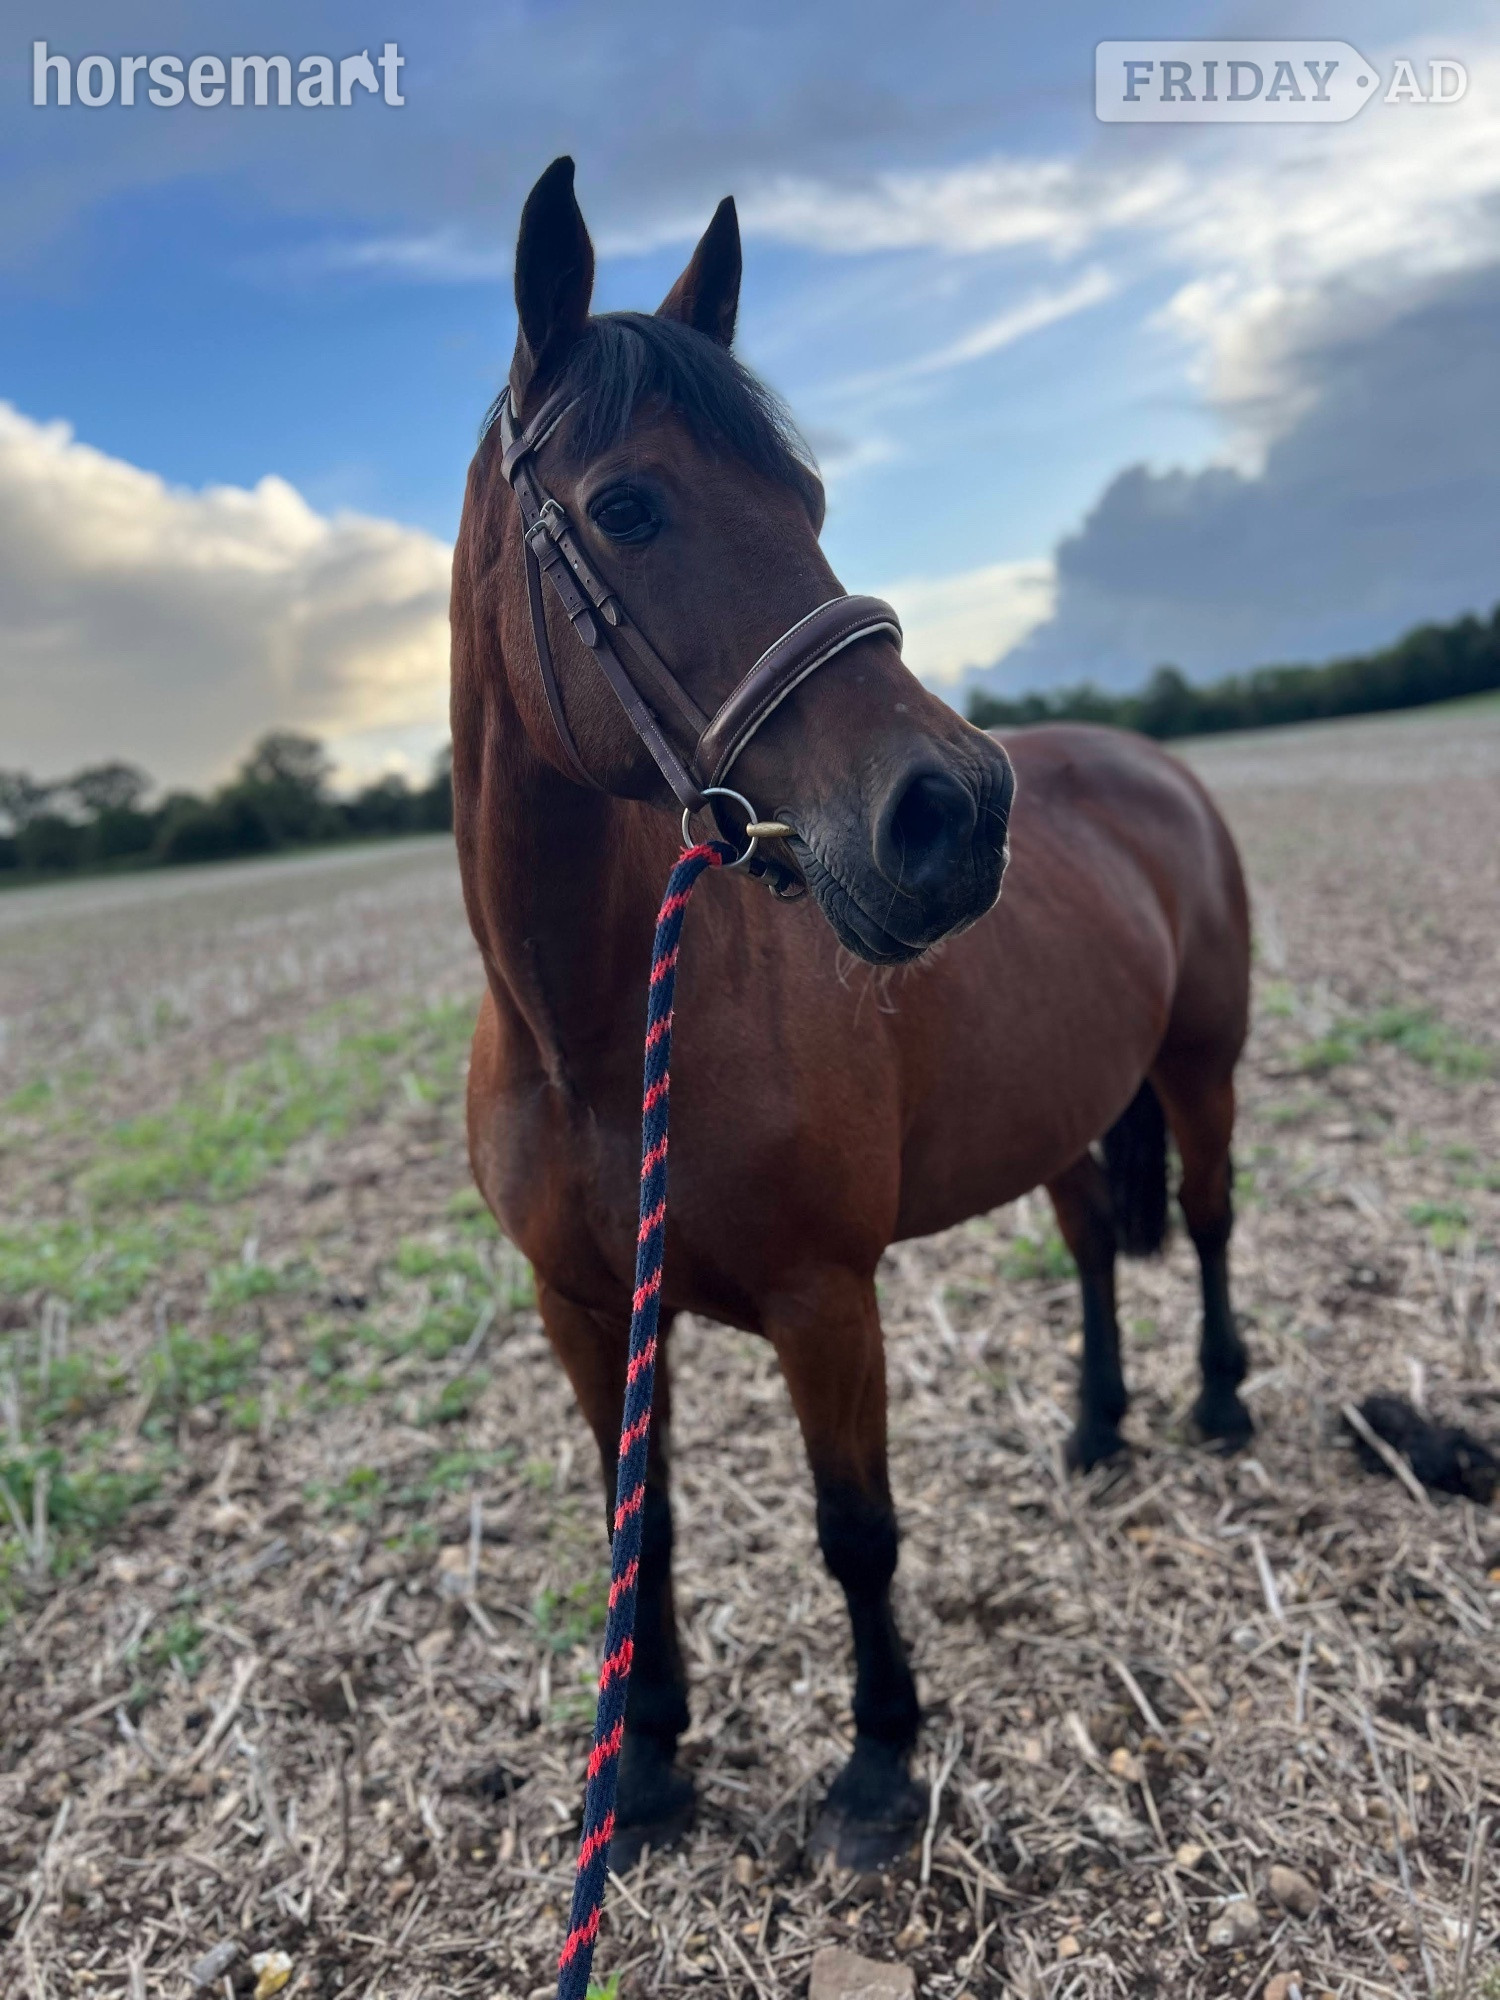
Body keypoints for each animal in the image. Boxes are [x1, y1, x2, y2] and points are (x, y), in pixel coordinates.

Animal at [451, 158, 1252, 1869]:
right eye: (630, 505)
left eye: (808, 505)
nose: (953, 812)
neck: (591, 1039)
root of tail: (1147, 762)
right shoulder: (585, 1314)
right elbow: (640, 1530)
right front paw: (644, 1768)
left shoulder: (828, 1302)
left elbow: (856, 1530)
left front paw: (880, 1764)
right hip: (1070, 1107)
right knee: (1098, 1248)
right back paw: (1097, 1429)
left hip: (1201, 1068)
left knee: (1214, 1221)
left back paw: (1220, 1403)